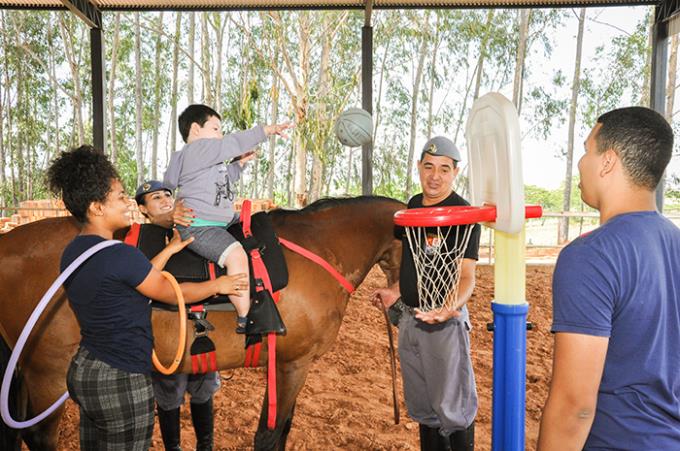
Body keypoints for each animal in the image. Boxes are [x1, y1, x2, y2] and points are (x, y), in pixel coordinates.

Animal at [0, 197, 404, 451]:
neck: (320, 248)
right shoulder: (293, 363)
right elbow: (269, 435)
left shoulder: (289, 365)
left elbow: (282, 431)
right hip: (47, 373)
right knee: (38, 437)